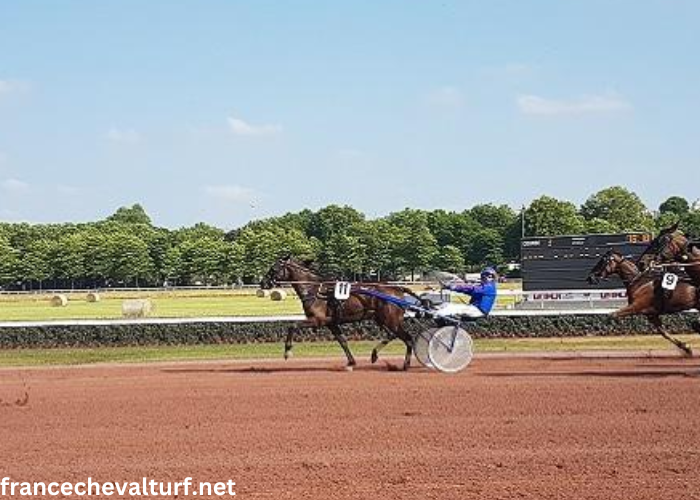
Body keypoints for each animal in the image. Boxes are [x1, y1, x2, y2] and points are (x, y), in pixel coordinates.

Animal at [262, 258, 422, 372]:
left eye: (273, 268)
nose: (263, 283)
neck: (315, 290)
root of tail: (398, 288)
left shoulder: (318, 320)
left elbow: (293, 325)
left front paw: (287, 352)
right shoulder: (331, 323)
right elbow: (342, 341)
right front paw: (351, 363)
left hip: (391, 320)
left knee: (408, 338)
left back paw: (405, 365)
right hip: (383, 319)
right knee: (394, 335)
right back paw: (375, 355)